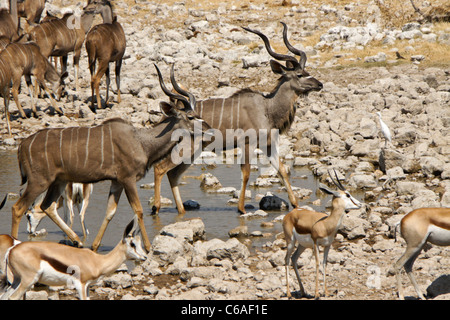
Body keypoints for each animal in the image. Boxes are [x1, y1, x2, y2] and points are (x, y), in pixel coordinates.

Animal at [0, 216, 146, 302]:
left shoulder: (87, 286)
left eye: (139, 243)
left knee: (5, 296)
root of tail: (11, 249)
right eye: (132, 244)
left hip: (16, 280)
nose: (144, 257)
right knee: (13, 297)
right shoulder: (80, 284)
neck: (97, 261)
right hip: (28, 281)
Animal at [10, 63, 211, 252]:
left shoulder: (116, 181)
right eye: (191, 117)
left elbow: (110, 212)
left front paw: (95, 246)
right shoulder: (128, 179)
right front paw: (148, 247)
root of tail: (22, 146)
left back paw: (77, 241)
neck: (141, 141)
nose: (208, 129)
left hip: (58, 181)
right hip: (39, 181)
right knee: (18, 208)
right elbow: (138, 211)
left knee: (47, 206)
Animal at [151, 23, 324, 215]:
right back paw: (156, 207)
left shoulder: (268, 145)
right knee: (160, 168)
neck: (267, 108)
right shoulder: (247, 144)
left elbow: (282, 170)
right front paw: (241, 209)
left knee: (173, 174)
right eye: (299, 75)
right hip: (188, 148)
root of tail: (166, 119)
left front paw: (296, 205)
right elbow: (246, 173)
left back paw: (181, 210)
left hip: (194, 150)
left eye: (306, 71)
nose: (319, 84)